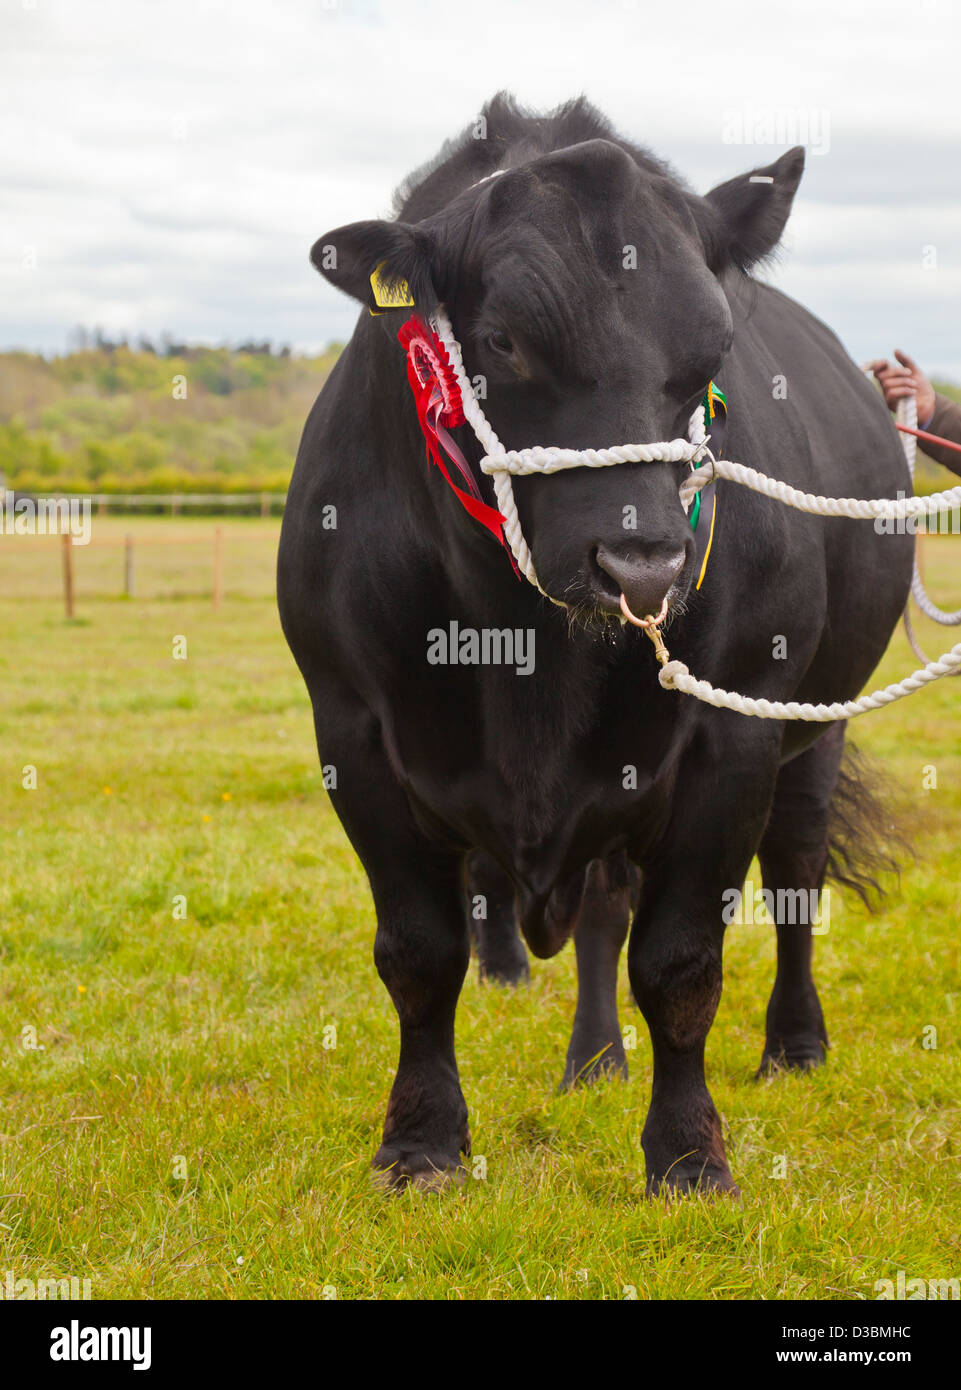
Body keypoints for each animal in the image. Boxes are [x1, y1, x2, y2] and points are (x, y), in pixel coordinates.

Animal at [276, 97, 912, 1195]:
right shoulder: (351, 733)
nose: (644, 564)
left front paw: (690, 1155)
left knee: (793, 874)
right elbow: (421, 951)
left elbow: (681, 960)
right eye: (501, 339)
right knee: (602, 914)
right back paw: (593, 1058)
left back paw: (793, 1045)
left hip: (812, 730)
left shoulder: (731, 738)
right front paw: (421, 1141)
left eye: (714, 347)